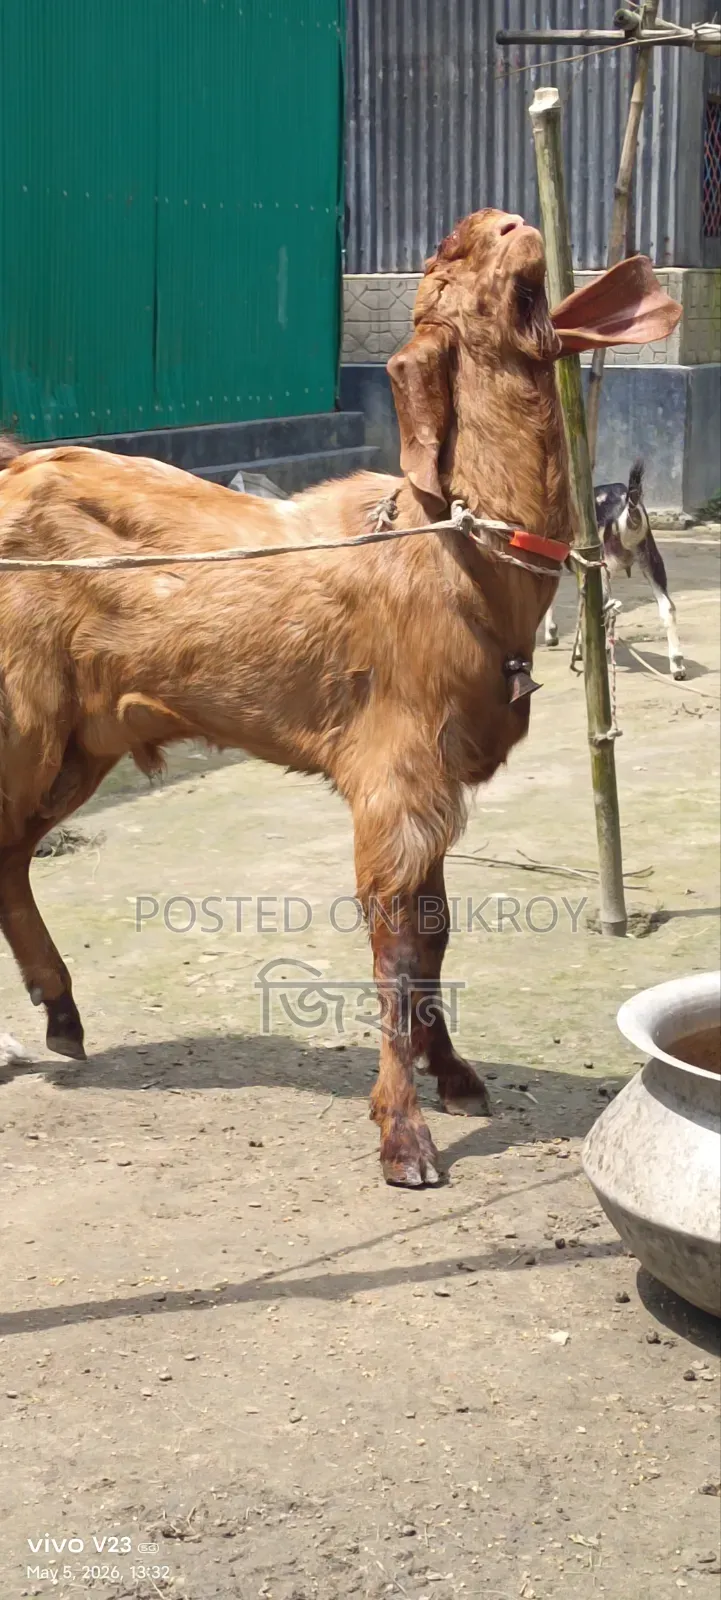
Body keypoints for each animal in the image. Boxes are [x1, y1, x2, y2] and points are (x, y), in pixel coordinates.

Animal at [543, 459, 685, 679]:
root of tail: (627, 509)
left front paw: (553, 636)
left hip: (602, 564)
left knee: (606, 607)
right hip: (650, 556)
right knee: (667, 606)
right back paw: (677, 665)